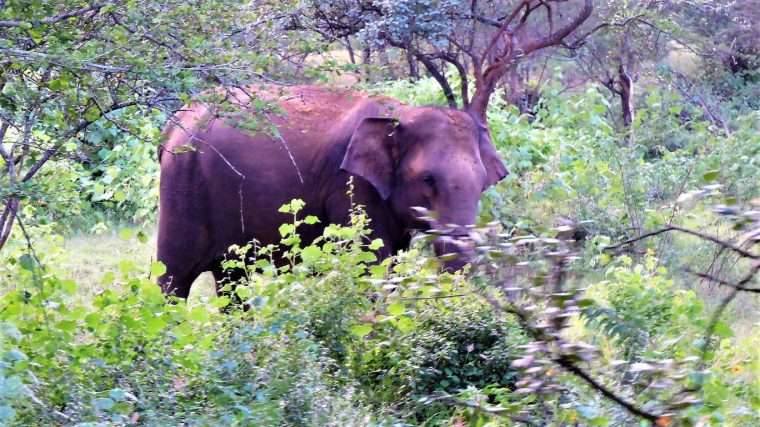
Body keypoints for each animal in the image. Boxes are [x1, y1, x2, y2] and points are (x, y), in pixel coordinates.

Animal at [157, 85, 508, 300]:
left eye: (483, 183)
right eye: (428, 179)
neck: (401, 114)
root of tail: (176, 121)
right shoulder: (351, 186)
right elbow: (371, 266)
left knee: (231, 282)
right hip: (183, 183)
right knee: (173, 278)